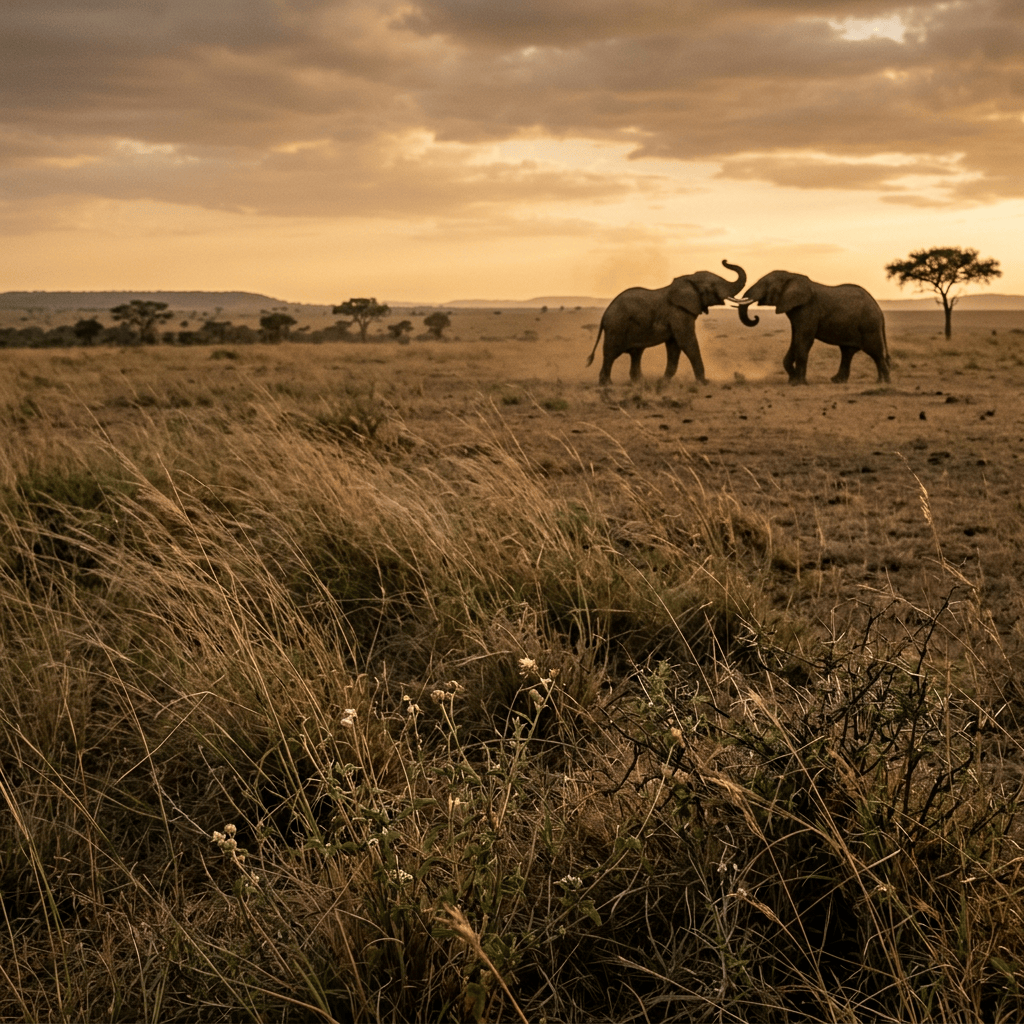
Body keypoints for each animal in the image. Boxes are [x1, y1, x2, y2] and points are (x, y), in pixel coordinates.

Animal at [586, 261, 747, 385]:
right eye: (712, 286)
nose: (724, 260)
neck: (689, 279)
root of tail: (605, 314)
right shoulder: (678, 313)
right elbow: (687, 342)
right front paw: (704, 383)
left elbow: (674, 346)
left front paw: (663, 382)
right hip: (616, 326)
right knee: (611, 354)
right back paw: (607, 385)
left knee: (636, 353)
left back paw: (639, 383)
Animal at [734, 271, 890, 385]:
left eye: (766, 284)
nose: (755, 317)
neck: (792, 275)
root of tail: (880, 310)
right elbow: (795, 340)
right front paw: (792, 381)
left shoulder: (808, 308)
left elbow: (803, 340)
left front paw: (800, 383)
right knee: (847, 352)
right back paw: (840, 381)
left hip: (869, 324)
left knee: (875, 352)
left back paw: (885, 382)